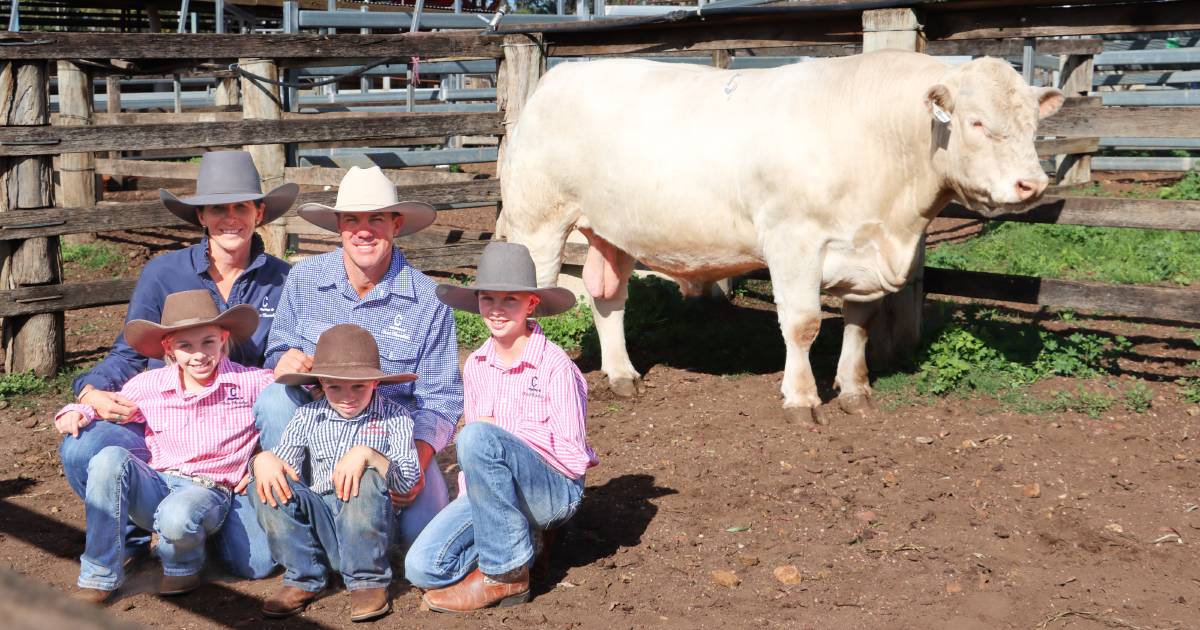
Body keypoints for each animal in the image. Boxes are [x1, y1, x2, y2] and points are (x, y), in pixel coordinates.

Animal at [501, 50, 1065, 422]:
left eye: (1034, 126)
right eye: (976, 122)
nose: (1032, 184)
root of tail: (562, 73)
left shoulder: (862, 251)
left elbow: (859, 323)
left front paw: (854, 389)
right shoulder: (794, 240)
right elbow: (803, 324)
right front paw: (802, 398)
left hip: (613, 231)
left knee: (608, 299)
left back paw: (622, 375)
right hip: (537, 221)